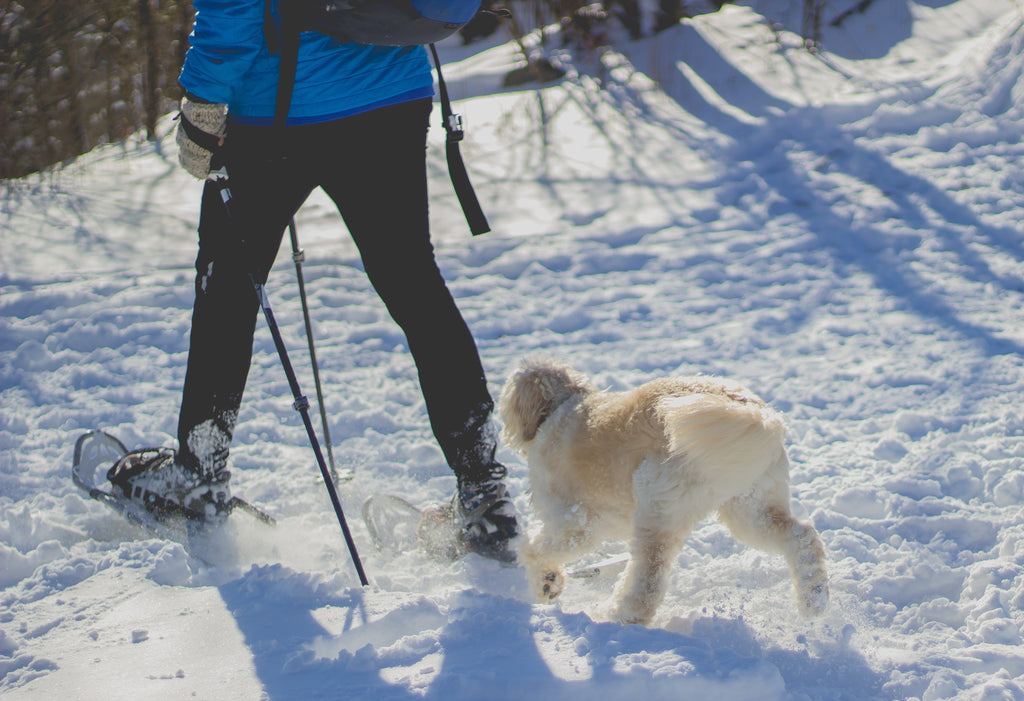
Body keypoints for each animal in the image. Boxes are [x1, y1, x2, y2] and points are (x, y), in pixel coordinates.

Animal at [499, 358, 827, 626]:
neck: (561, 406)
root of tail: (754, 412)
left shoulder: (574, 523)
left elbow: (535, 551)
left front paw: (545, 581)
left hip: (657, 507)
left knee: (648, 580)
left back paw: (617, 616)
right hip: (751, 507)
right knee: (801, 537)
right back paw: (813, 600)